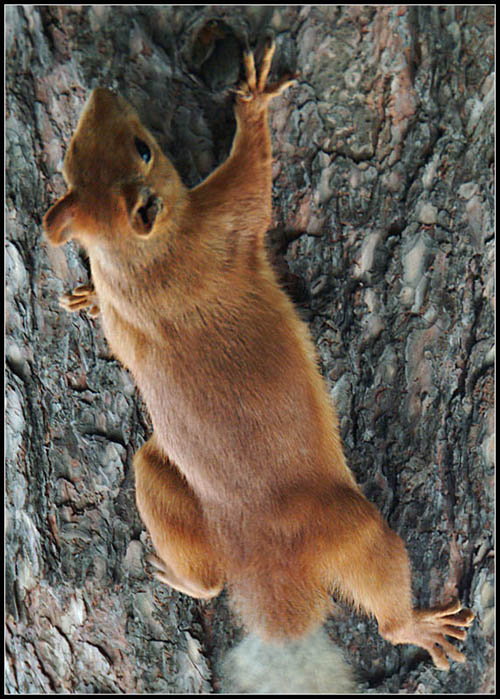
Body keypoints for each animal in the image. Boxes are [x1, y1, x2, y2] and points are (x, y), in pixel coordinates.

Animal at [43, 35, 474, 693]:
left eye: (68, 158)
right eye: (145, 148)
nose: (102, 92)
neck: (145, 262)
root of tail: (267, 572)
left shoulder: (131, 312)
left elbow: (117, 336)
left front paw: (87, 296)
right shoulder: (225, 218)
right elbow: (254, 170)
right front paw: (254, 99)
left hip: (159, 479)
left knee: (208, 577)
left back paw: (180, 575)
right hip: (354, 529)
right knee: (382, 595)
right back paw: (420, 626)